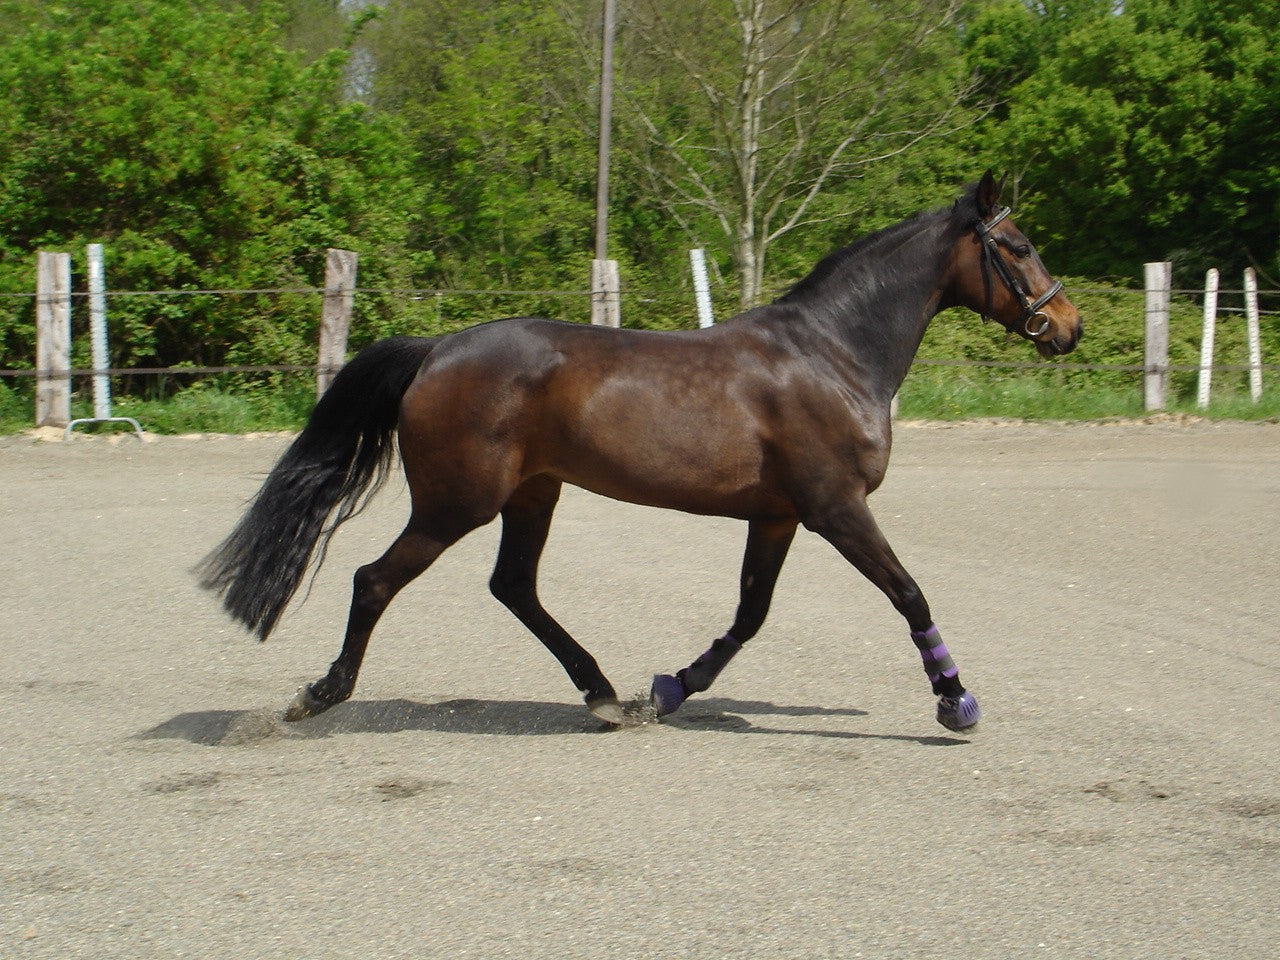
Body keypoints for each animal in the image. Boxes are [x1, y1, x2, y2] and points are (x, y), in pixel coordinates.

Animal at [199, 172, 1080, 732]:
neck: (833, 353)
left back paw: (605, 695)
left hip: (533, 495)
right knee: (374, 580)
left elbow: (749, 615)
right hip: (458, 503)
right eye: (1020, 244)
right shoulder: (836, 508)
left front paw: (673, 689)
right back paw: (319, 695)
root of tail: (437, 349)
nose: (1068, 327)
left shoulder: (779, 516)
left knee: (513, 587)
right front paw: (956, 701)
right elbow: (910, 596)